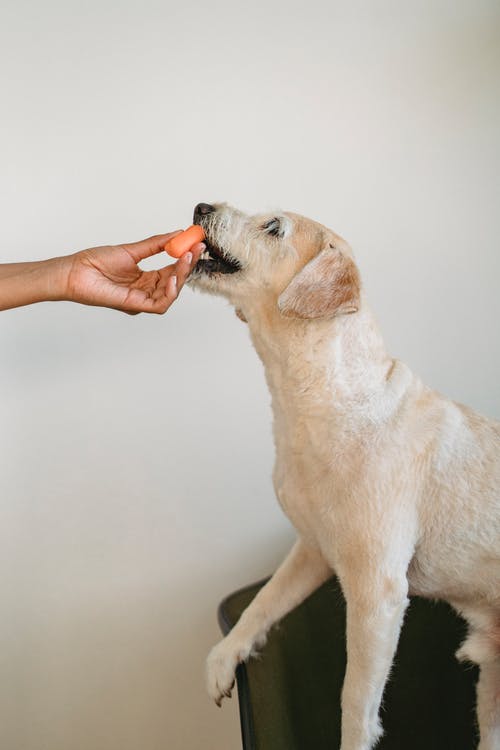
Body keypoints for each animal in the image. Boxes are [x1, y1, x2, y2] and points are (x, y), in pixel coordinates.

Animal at [188, 201, 500, 750]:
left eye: (274, 228)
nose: (201, 206)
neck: (320, 404)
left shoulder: (376, 594)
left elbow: (355, 697)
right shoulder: (311, 548)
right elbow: (262, 603)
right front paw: (225, 657)